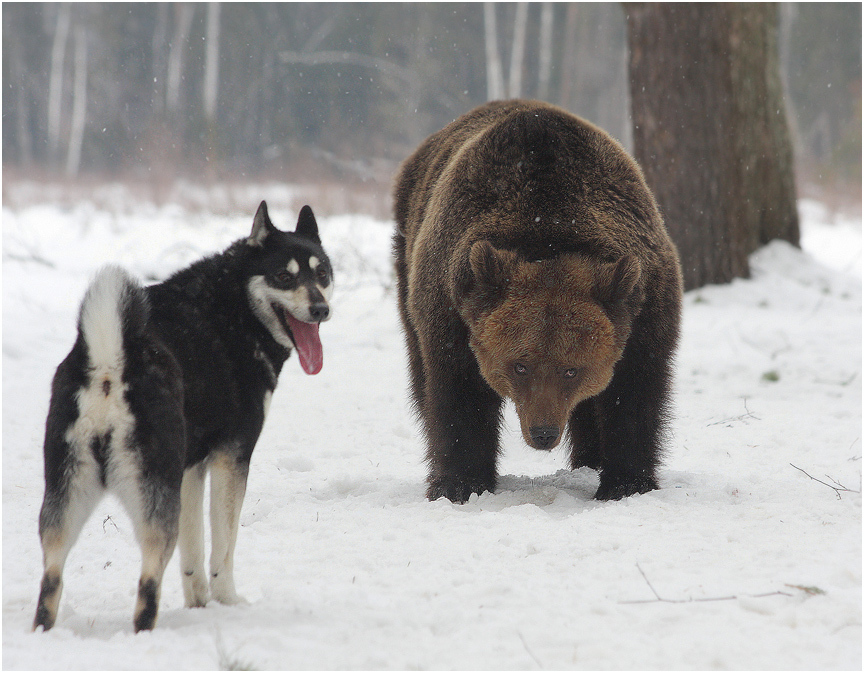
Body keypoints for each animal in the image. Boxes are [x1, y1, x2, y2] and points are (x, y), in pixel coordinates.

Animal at [33, 200, 330, 632]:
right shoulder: (231, 458)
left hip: (65, 499)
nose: (321, 308)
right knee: (147, 583)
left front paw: (199, 603)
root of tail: (109, 363)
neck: (236, 308)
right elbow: (223, 547)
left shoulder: (191, 467)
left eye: (321, 273)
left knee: (51, 579)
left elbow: (193, 552)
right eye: (283, 276)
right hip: (154, 502)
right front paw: (227, 601)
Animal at [392, 98, 680, 498]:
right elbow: (459, 396)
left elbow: (633, 397)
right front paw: (460, 484)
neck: (548, 230)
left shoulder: (643, 310)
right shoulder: (453, 306)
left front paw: (626, 482)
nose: (543, 433)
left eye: (571, 369)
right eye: (520, 365)